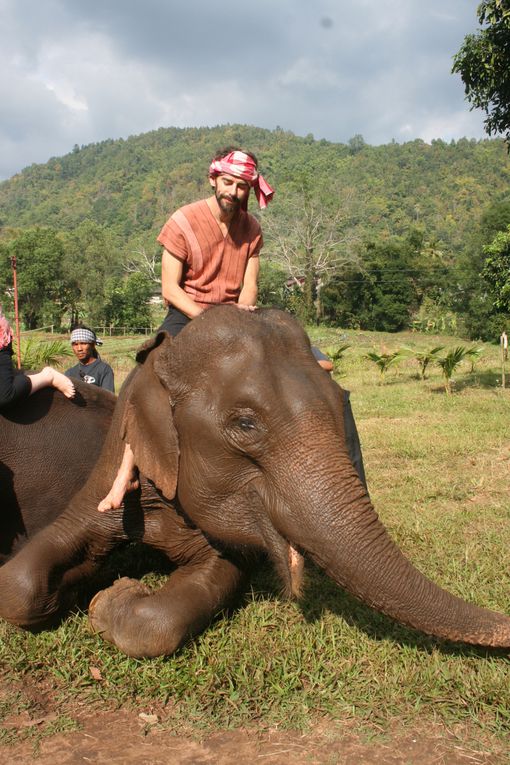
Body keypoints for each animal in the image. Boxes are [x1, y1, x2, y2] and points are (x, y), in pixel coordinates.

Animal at [0, 304, 510, 656]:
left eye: (341, 400)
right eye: (246, 425)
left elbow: (177, 606)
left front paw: (116, 596)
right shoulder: (112, 468)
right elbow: (18, 584)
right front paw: (92, 578)